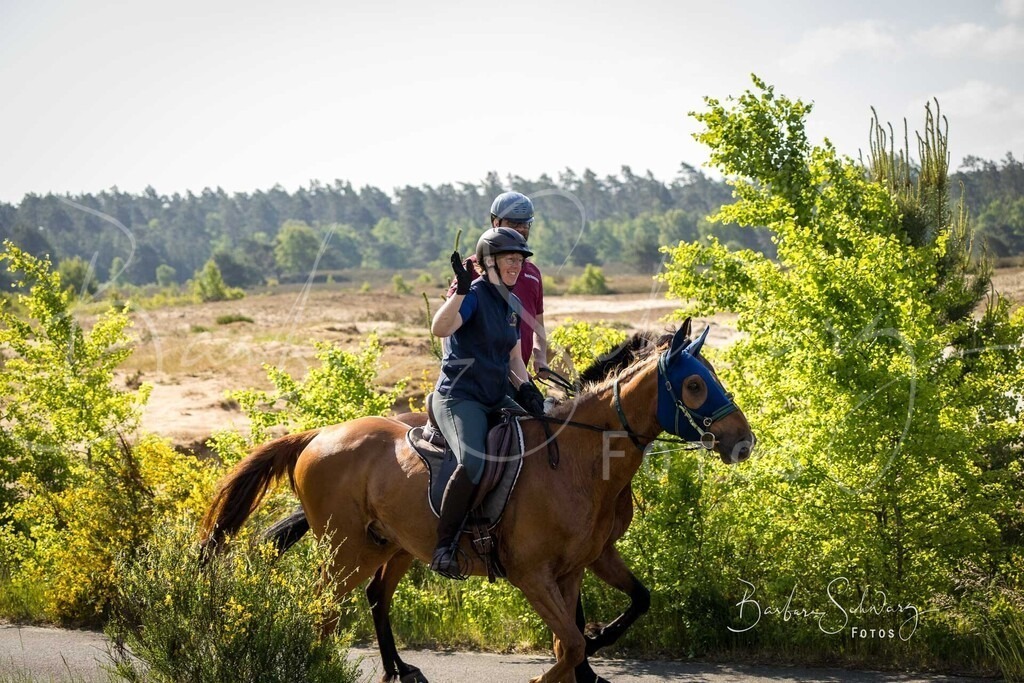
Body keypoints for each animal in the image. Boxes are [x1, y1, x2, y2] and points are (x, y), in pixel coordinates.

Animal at [201, 318, 754, 683]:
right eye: (694, 384)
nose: (743, 441)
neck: (580, 458)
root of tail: (317, 436)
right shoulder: (532, 574)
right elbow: (571, 644)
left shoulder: (581, 564)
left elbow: (598, 625)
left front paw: (592, 658)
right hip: (347, 552)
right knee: (325, 608)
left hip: (393, 545)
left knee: (375, 597)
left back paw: (399, 669)